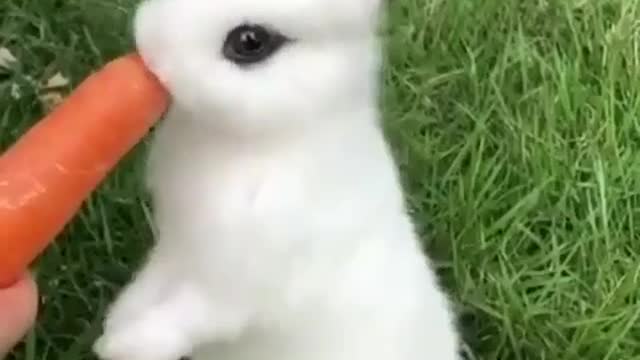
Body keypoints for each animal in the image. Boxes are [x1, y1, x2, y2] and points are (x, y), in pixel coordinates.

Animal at [92, 0, 460, 358]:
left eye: (250, 42)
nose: (149, 42)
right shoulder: (175, 249)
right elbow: (150, 284)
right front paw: (117, 320)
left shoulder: (236, 287)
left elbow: (190, 317)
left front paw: (119, 345)